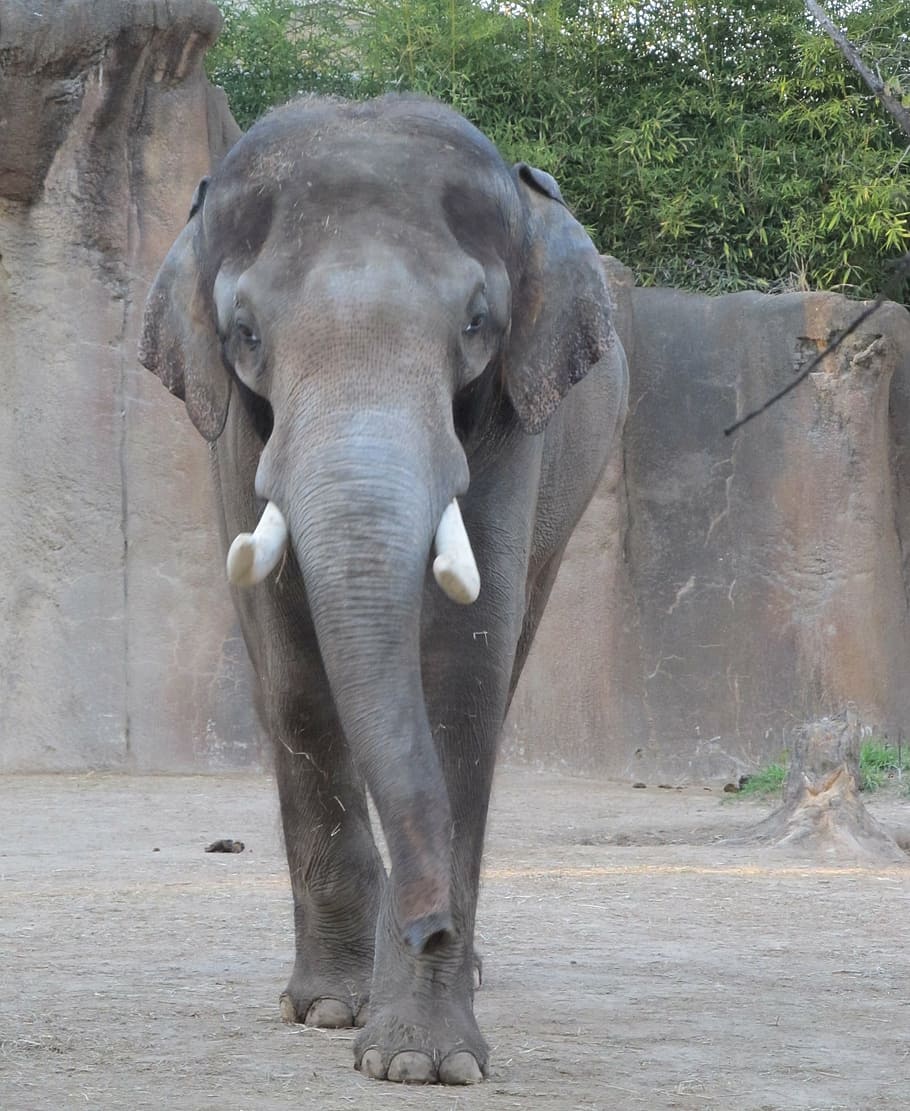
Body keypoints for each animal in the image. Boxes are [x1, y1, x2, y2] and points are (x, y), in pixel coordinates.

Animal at [140, 94, 627, 1086]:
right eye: (245, 333)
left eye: (476, 321)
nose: (429, 924)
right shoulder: (236, 426)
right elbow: (289, 662)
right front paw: (330, 1009)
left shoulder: (512, 404)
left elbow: (462, 669)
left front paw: (423, 1061)